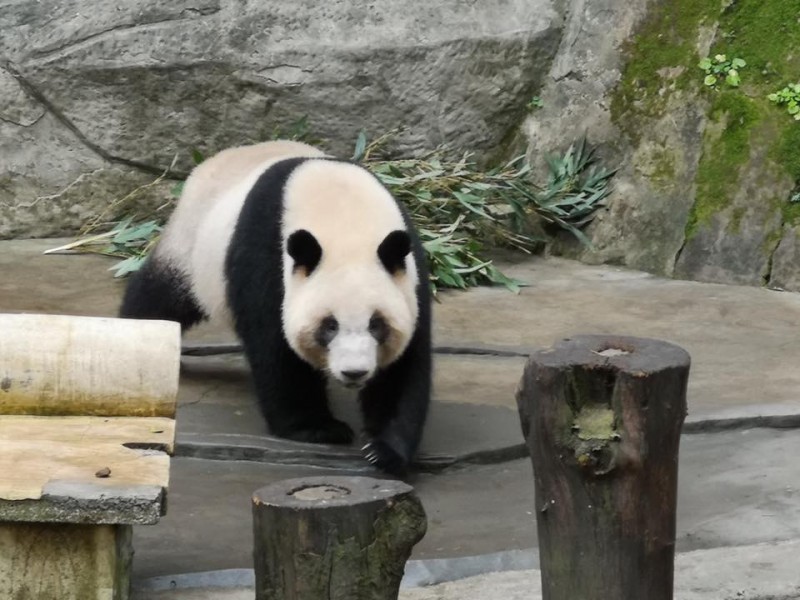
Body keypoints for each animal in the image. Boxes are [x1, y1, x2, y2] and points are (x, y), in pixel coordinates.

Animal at [119, 141, 432, 474]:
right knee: (161, 295)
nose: (354, 372)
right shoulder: (269, 253)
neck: (345, 223)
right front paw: (318, 428)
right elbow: (276, 346)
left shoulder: (409, 272)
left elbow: (404, 367)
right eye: (329, 325)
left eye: (376, 325)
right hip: (193, 245)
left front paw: (384, 451)